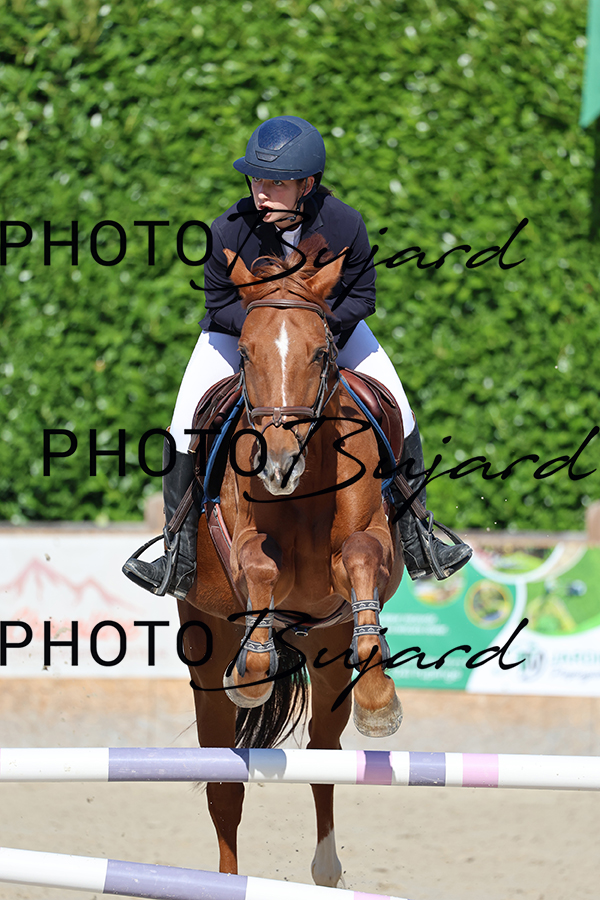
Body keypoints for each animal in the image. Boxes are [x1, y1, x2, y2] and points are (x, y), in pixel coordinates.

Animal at [177, 235, 404, 887]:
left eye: (322, 353)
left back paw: (326, 868)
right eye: (245, 353)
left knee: (324, 760)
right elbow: (260, 568)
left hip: (326, 650)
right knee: (223, 785)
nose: (278, 465)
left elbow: (360, 556)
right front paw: (254, 669)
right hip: (203, 652)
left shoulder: (368, 553)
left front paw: (381, 701)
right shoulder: (238, 544)